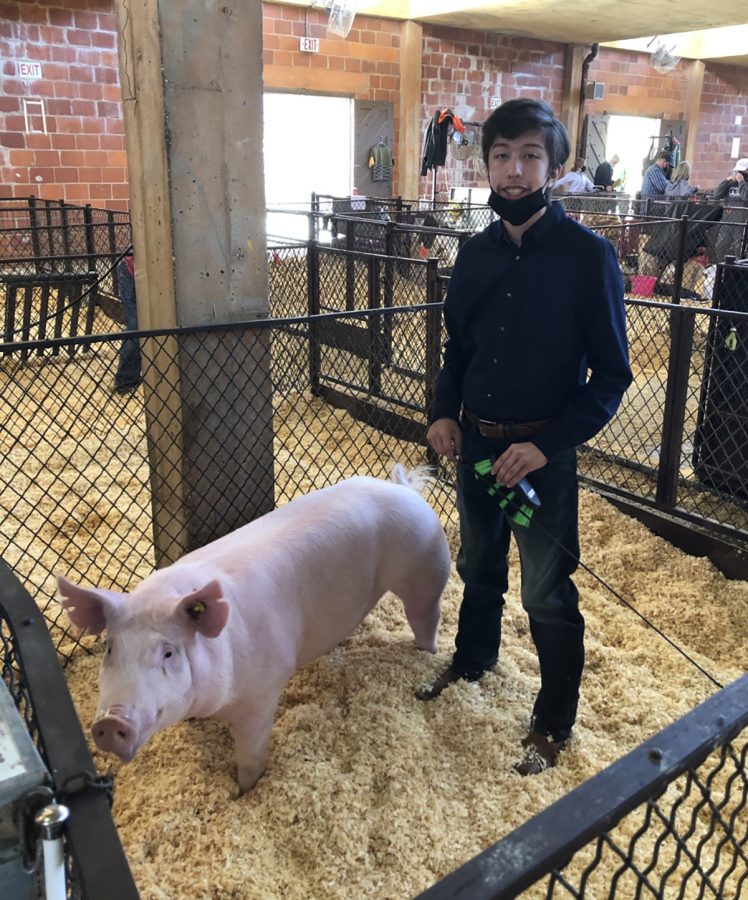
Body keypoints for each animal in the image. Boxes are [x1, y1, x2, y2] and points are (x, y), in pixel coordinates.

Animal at [58, 468, 450, 792]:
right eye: (111, 649)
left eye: (168, 652)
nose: (111, 721)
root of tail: (406, 489)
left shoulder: (262, 694)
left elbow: (250, 756)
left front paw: (243, 791)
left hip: (426, 570)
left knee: (426, 618)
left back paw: (425, 656)